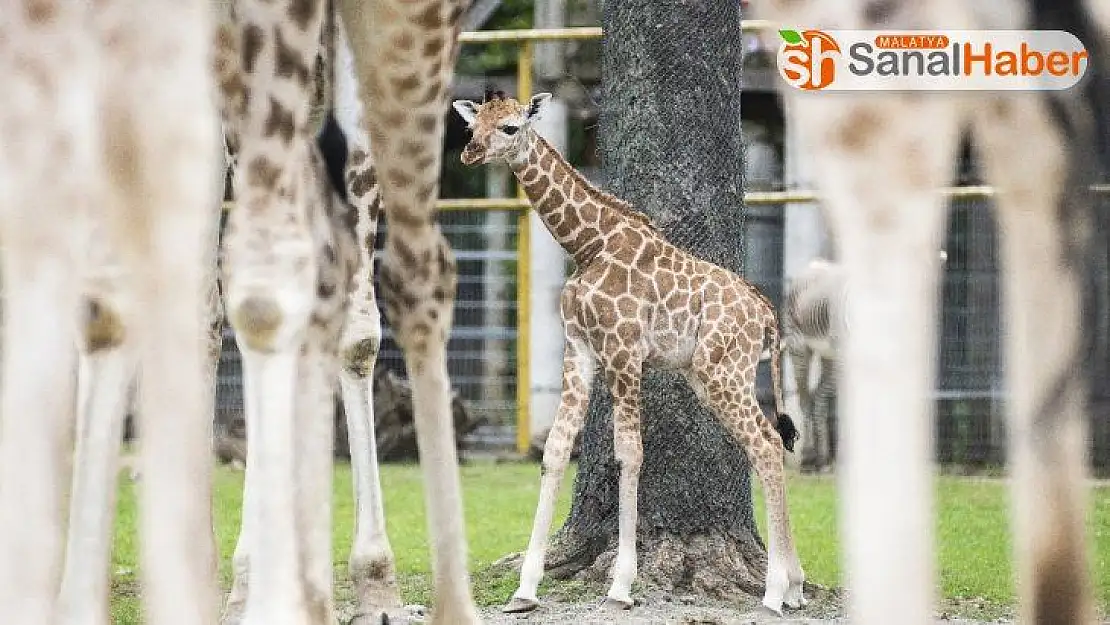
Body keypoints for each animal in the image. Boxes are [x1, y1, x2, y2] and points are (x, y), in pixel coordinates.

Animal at [455, 91, 803, 617]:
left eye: (511, 127)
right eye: (474, 126)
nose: (469, 153)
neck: (587, 245)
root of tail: (767, 315)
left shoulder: (623, 350)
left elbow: (630, 453)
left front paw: (620, 584)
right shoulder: (579, 349)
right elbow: (556, 449)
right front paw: (526, 588)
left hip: (723, 371)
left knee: (764, 443)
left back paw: (775, 592)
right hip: (714, 374)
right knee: (767, 443)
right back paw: (797, 586)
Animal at [781, 251, 945, 472]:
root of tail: (812, 266)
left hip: (829, 358)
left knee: (819, 397)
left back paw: (822, 460)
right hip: (801, 347)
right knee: (806, 399)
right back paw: (808, 458)